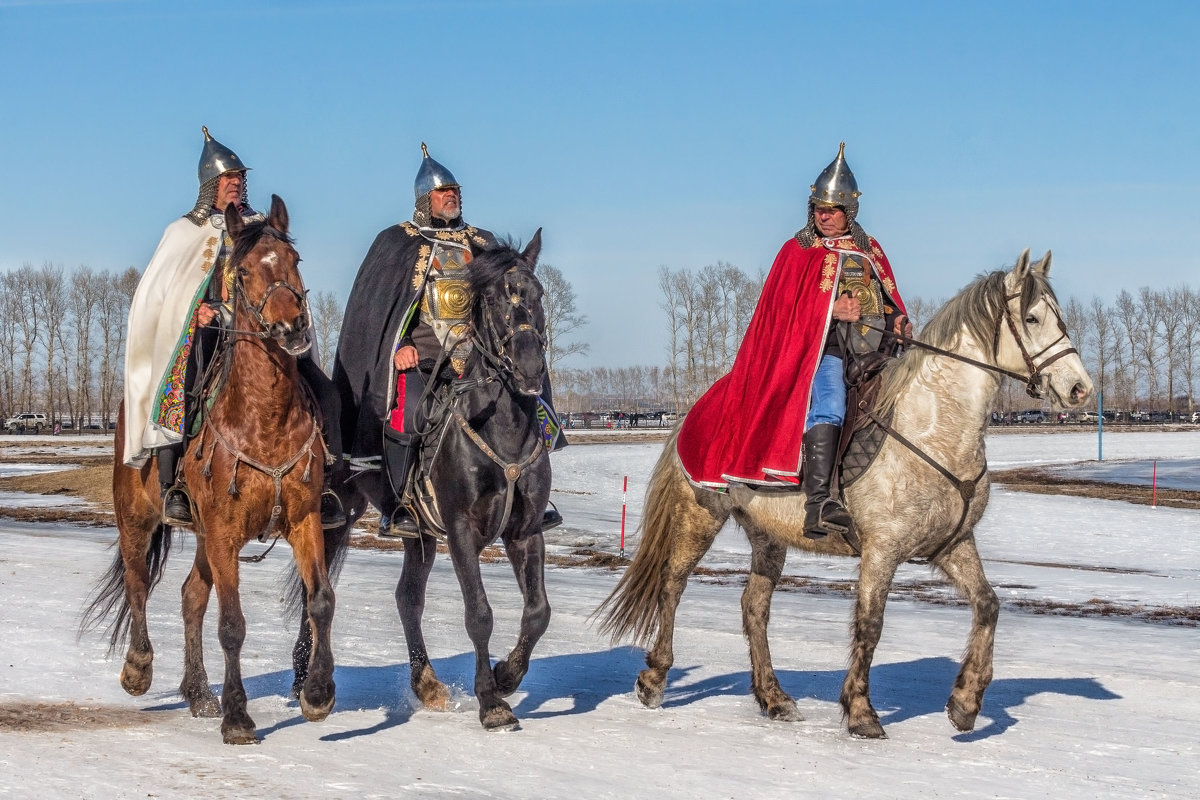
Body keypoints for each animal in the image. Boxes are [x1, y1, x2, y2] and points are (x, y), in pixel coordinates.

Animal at [87, 195, 336, 743]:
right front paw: (238, 717)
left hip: (204, 536)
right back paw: (139, 668)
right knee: (139, 582)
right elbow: (232, 625)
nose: (292, 329)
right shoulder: (223, 531)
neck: (265, 418)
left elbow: (321, 601)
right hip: (137, 517)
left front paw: (317, 695)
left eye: (295, 261)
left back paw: (199, 692)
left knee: (190, 596)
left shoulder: (303, 519)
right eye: (241, 271)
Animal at [290, 231, 552, 734]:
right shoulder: (461, 529)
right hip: (336, 513)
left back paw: (425, 682)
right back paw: (305, 683)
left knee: (407, 598)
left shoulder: (525, 531)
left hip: (419, 533)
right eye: (493, 299)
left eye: (538, 294)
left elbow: (537, 613)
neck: (502, 429)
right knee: (317, 588)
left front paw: (506, 676)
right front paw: (492, 702)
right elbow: (479, 614)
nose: (530, 371)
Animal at [595, 248, 1094, 738]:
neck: (935, 428)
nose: (1079, 388)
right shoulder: (881, 549)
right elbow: (870, 625)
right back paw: (655, 678)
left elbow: (988, 604)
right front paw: (860, 712)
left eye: (1059, 318)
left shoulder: (952, 544)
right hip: (699, 514)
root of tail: (699, 407)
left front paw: (966, 703)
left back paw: (774, 698)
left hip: (767, 535)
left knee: (754, 607)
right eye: (1031, 318)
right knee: (672, 584)